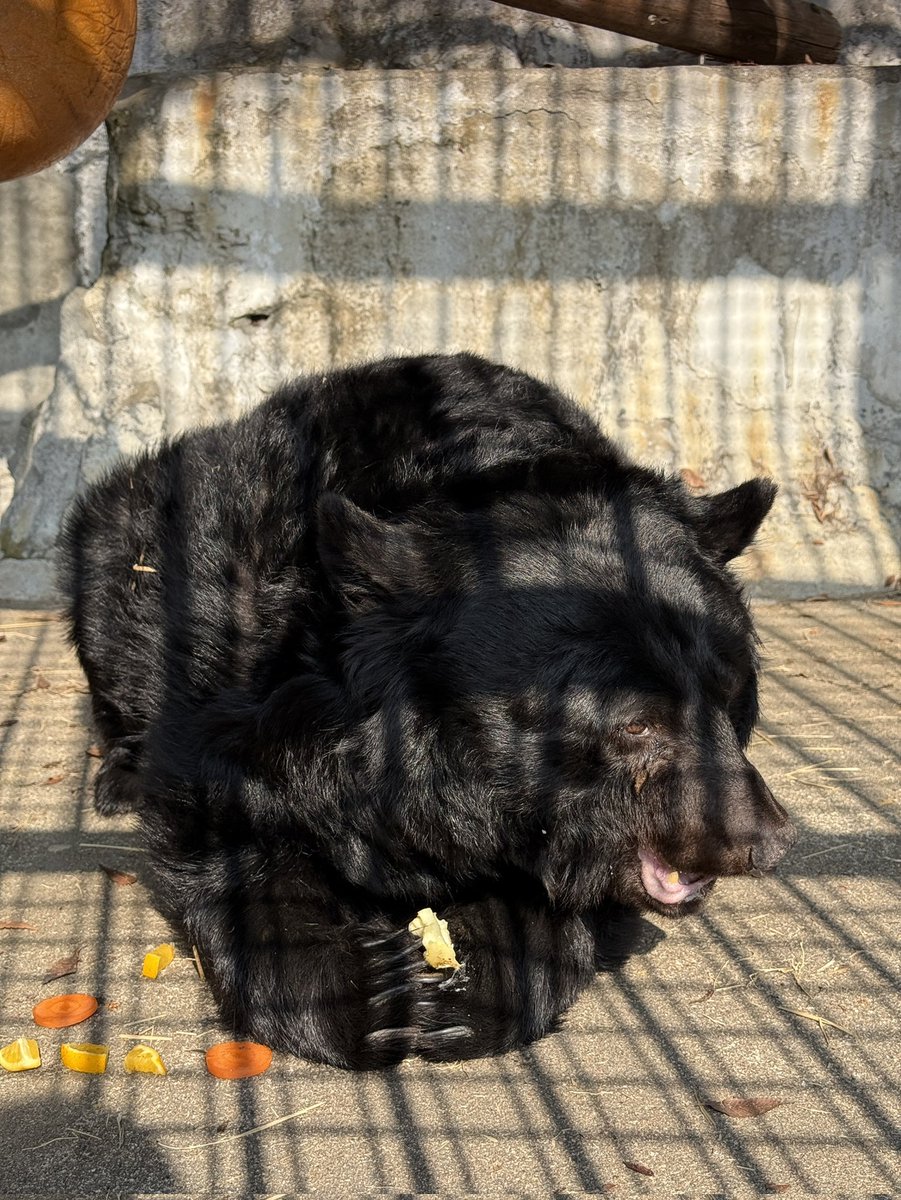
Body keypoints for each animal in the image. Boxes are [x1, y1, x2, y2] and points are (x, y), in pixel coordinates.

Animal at [59, 352, 795, 1069]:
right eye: (635, 724)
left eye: (733, 694)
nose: (765, 842)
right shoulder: (251, 677)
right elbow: (219, 819)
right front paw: (369, 991)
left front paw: (468, 986)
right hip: (122, 545)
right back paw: (117, 776)